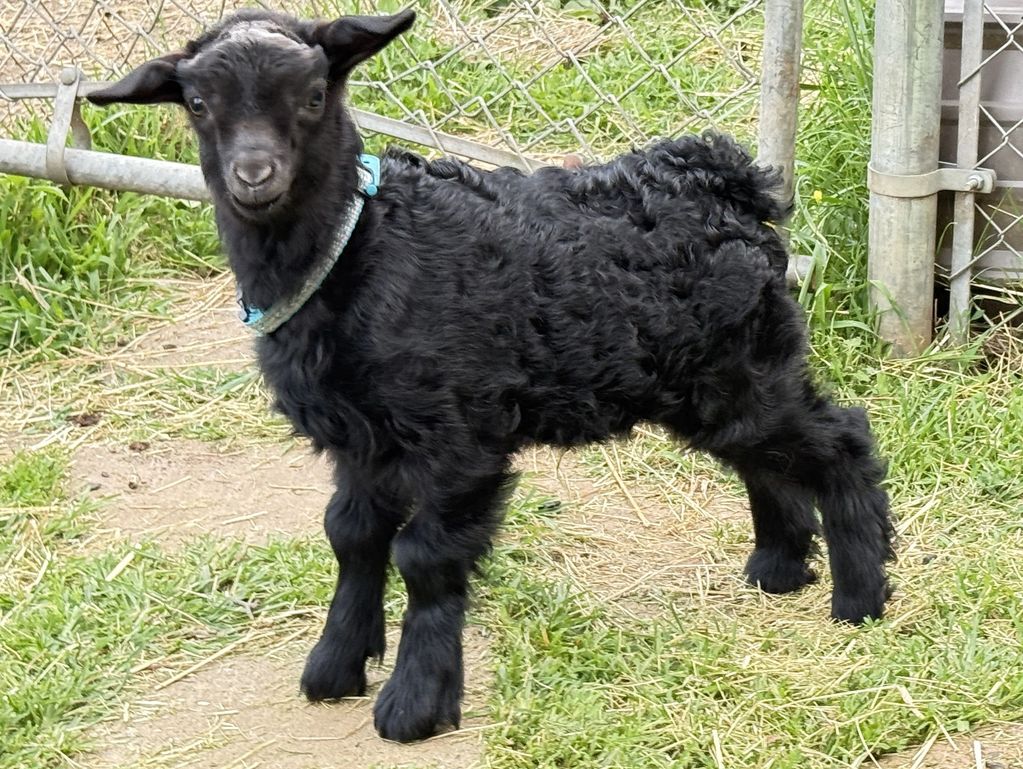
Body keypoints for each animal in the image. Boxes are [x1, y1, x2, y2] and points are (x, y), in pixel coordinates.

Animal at [89, 8, 894, 743]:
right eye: (198, 104)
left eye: (314, 95)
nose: (255, 175)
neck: (359, 249)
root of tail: (726, 180)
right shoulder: (361, 438)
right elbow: (349, 534)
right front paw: (336, 665)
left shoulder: (459, 435)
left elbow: (423, 556)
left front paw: (414, 704)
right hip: (710, 380)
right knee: (764, 459)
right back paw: (778, 565)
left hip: (742, 366)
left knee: (841, 439)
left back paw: (860, 597)